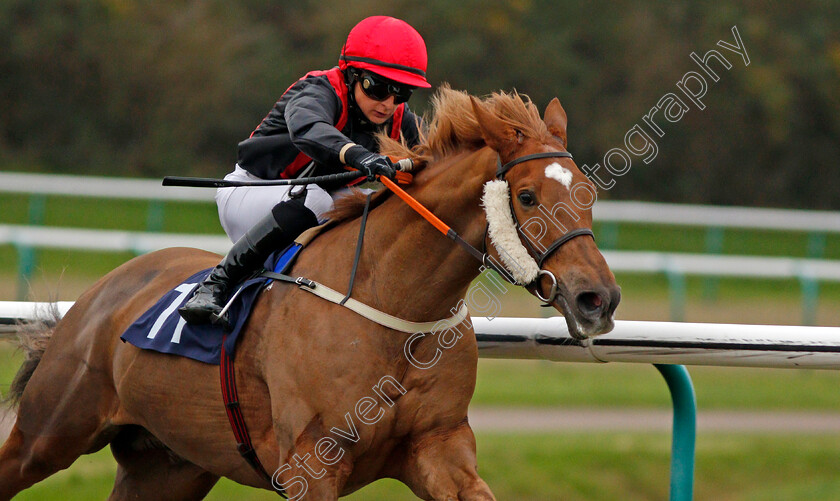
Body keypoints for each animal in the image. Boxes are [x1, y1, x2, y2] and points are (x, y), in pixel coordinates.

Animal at [0, 85, 616, 496]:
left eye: (588, 193)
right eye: (528, 197)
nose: (599, 299)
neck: (395, 308)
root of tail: (101, 292)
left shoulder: (440, 447)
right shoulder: (309, 464)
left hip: (167, 465)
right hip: (48, 433)